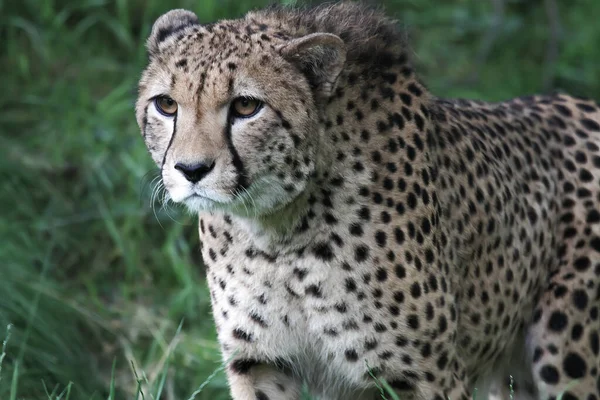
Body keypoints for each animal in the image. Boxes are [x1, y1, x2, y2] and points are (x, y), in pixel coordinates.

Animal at [136, 3, 600, 400]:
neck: (280, 231)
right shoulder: (261, 363)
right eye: (166, 104)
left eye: (246, 106)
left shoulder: (425, 376)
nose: (190, 170)